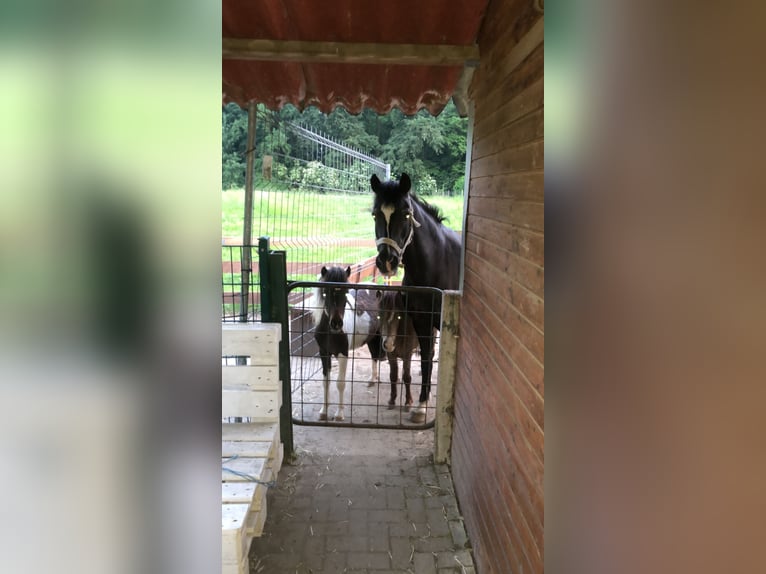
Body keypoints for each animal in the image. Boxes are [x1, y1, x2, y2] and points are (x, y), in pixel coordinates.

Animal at [310, 266, 388, 424]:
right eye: (325, 291)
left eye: (346, 292)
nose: (336, 323)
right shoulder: (324, 353)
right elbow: (326, 382)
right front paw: (323, 412)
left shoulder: (342, 354)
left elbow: (340, 383)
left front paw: (339, 414)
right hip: (372, 338)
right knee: (374, 356)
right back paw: (372, 380)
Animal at [372, 174, 462, 424]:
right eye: (375, 214)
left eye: (405, 214)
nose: (387, 261)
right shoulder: (422, 320)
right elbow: (426, 357)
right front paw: (422, 402)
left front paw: (422, 404)